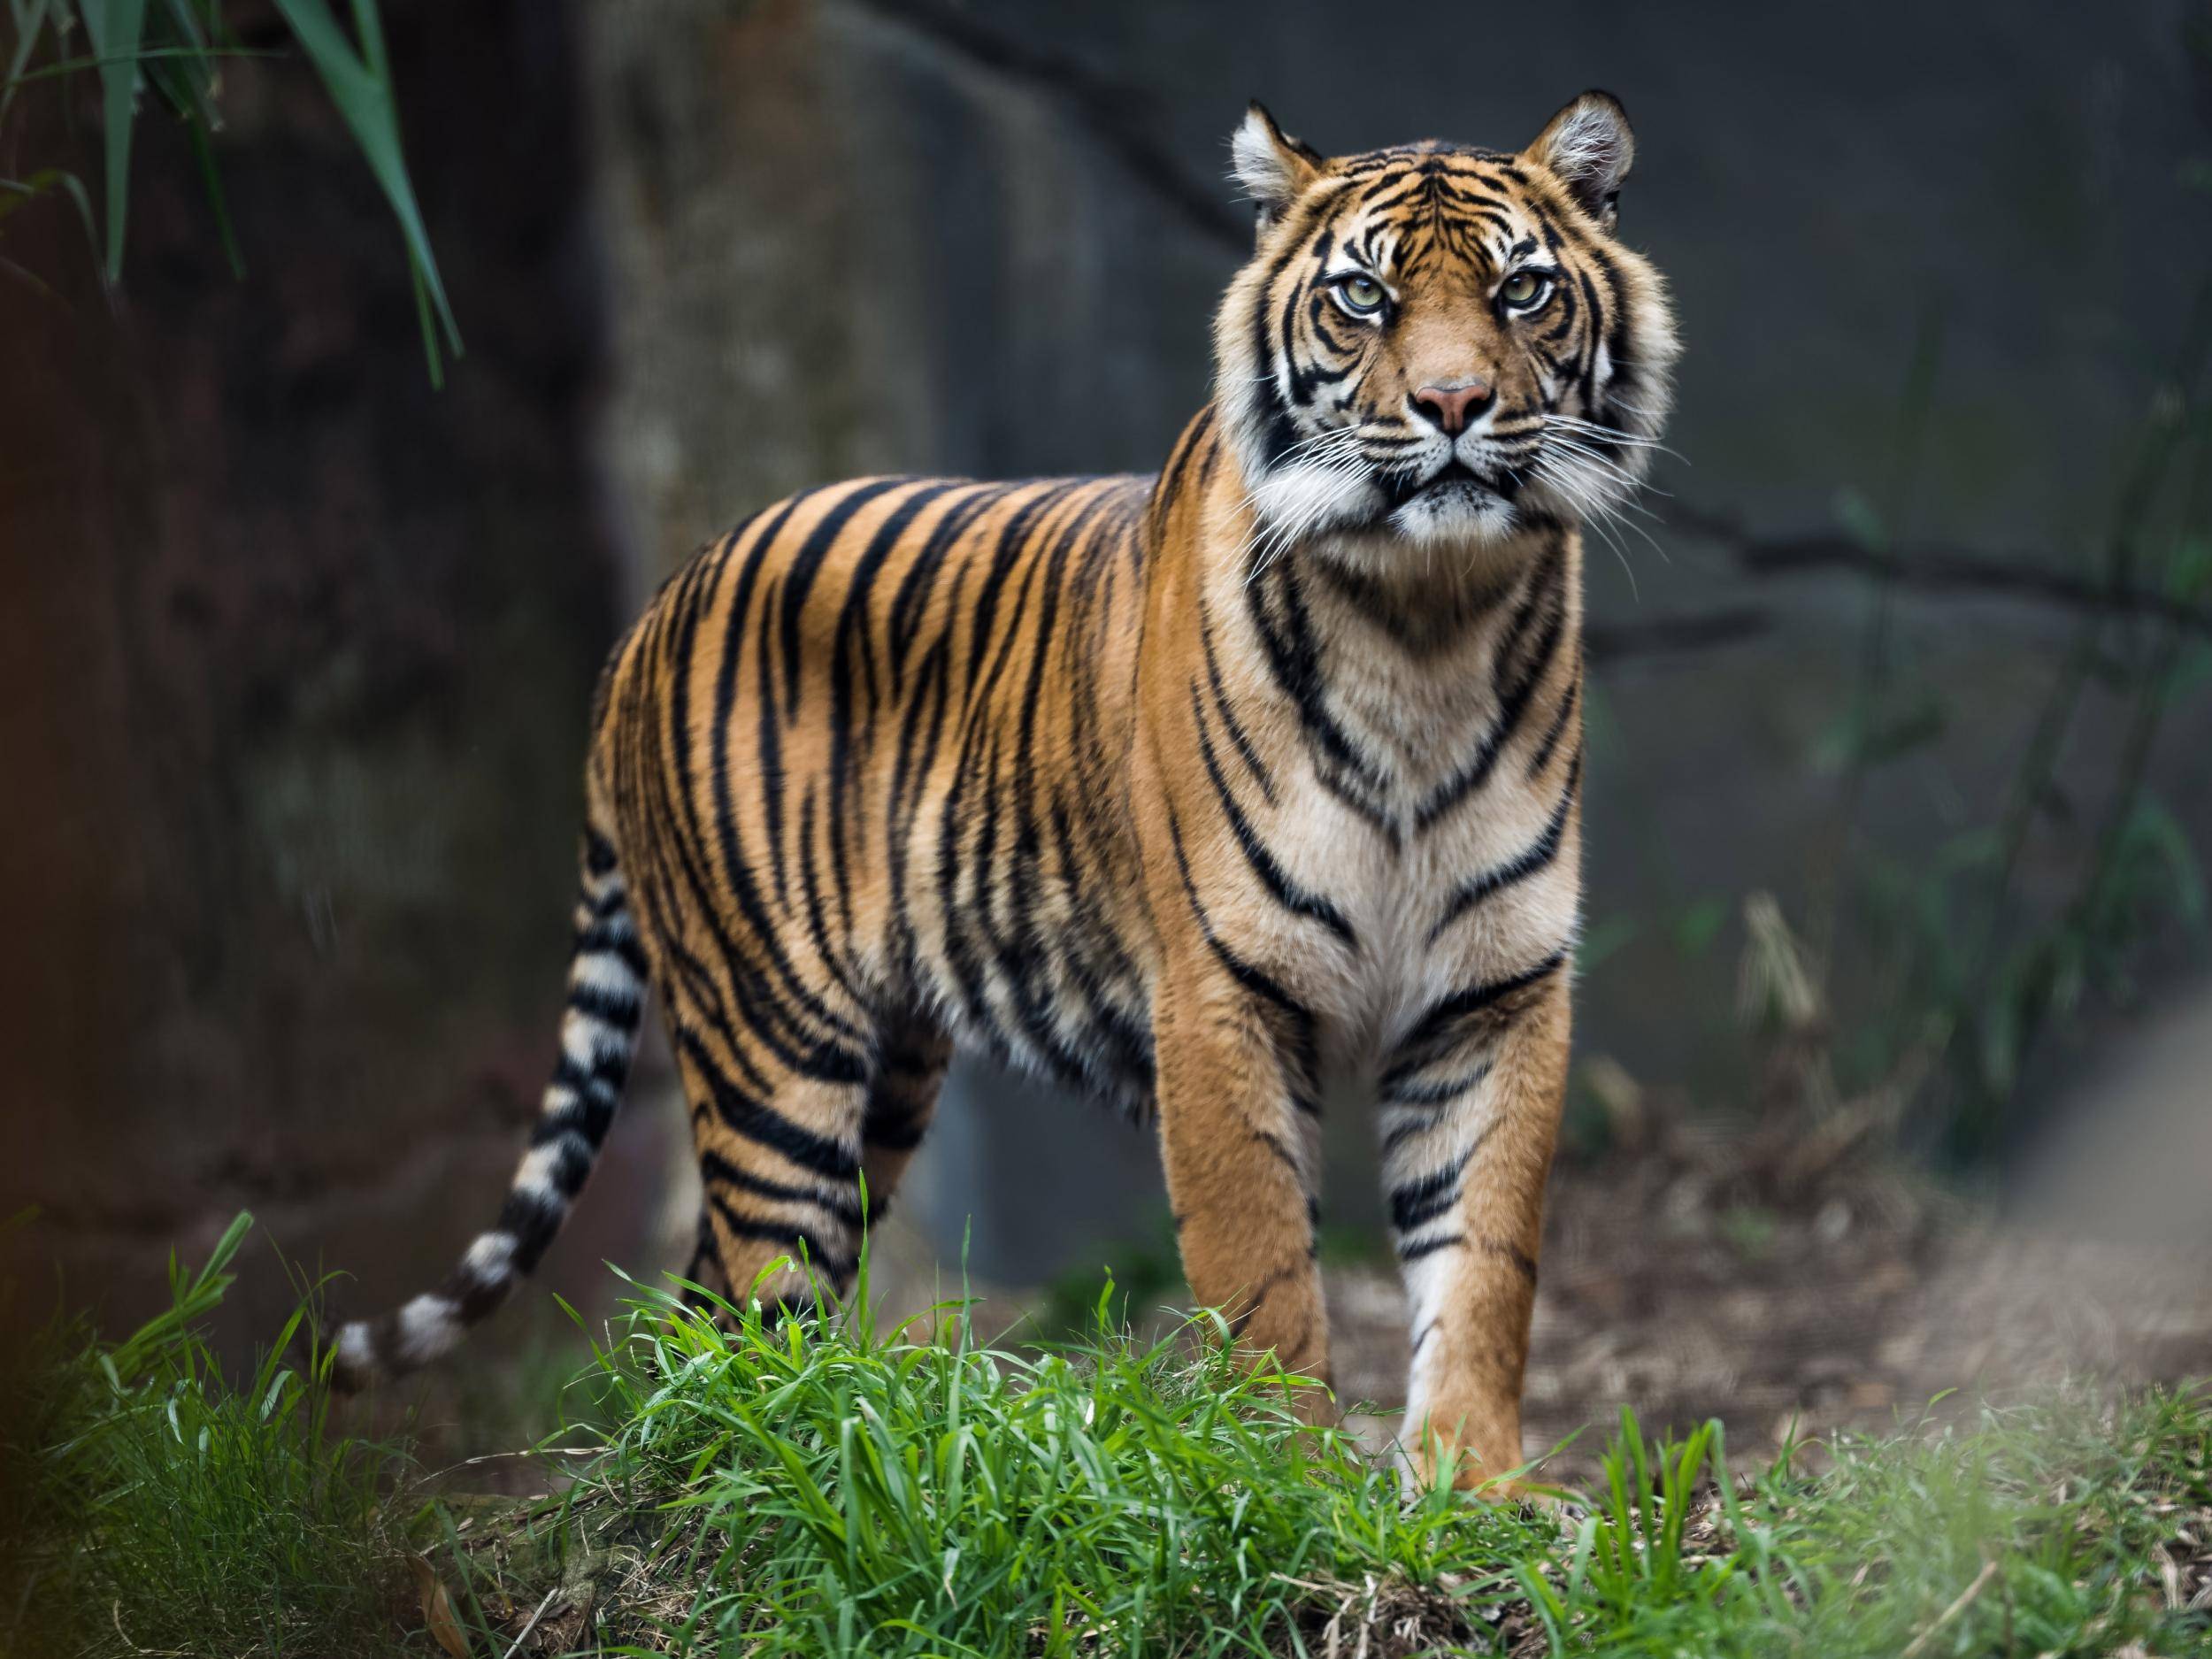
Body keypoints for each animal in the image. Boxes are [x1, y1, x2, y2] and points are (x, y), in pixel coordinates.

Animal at [335, 90, 1678, 1492]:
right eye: (1363, 296)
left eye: (1523, 290)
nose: (1454, 401)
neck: (1427, 621)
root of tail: (647, 617)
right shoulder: (1220, 995)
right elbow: (1264, 1274)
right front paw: (1289, 1485)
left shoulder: (1495, 992)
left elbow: (1486, 1261)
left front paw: (1477, 1489)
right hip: (774, 1047)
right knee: (756, 1281)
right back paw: (785, 1457)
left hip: (886, 1071)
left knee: (708, 1299)